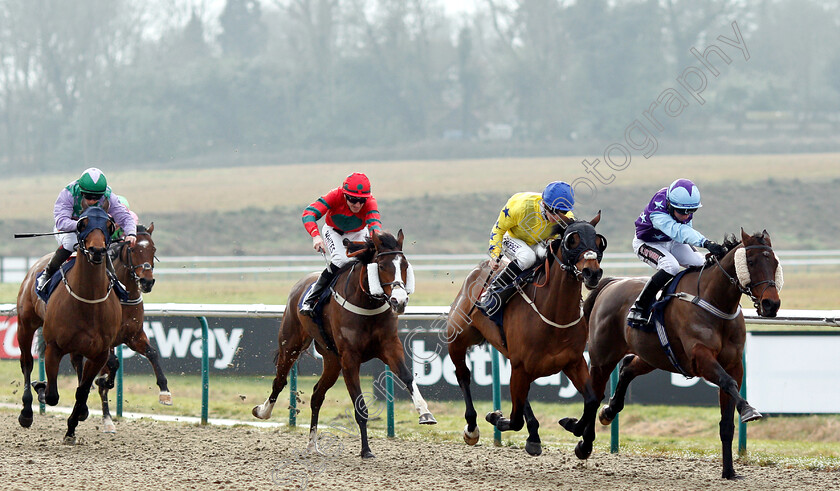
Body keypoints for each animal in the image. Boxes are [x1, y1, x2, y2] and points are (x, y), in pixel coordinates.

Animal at [14, 206, 122, 444]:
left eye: (109, 225)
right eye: (82, 223)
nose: (97, 250)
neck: (88, 300)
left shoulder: (99, 353)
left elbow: (82, 392)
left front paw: (72, 428)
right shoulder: (54, 347)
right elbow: (53, 395)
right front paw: (41, 387)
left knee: (77, 367)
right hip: (25, 325)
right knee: (27, 363)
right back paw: (26, 412)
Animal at [70, 223, 167, 434]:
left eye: (153, 249)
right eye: (133, 250)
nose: (147, 282)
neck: (124, 297)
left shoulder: (134, 336)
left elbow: (152, 353)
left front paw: (165, 391)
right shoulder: (103, 342)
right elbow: (112, 366)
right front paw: (102, 380)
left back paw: (107, 419)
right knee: (81, 368)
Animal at [251, 233, 436, 460]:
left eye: (405, 265)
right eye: (381, 266)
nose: (399, 301)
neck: (367, 303)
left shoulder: (390, 347)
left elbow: (407, 376)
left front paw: (425, 413)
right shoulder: (349, 359)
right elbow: (360, 406)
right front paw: (366, 450)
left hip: (332, 361)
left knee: (317, 394)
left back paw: (312, 444)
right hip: (291, 345)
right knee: (279, 381)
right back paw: (263, 411)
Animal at [450, 213, 608, 460]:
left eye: (599, 242)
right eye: (572, 240)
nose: (592, 273)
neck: (554, 314)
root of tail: (480, 269)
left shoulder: (572, 362)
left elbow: (592, 400)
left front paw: (580, 436)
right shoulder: (522, 366)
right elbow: (514, 420)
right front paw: (495, 416)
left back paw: (534, 435)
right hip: (457, 338)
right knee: (463, 375)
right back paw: (472, 427)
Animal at [568, 231, 784, 480]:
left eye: (775, 262)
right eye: (751, 262)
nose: (771, 304)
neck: (714, 301)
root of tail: (612, 283)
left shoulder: (734, 365)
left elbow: (727, 420)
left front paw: (729, 471)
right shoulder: (701, 358)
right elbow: (728, 383)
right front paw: (749, 410)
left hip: (653, 355)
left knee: (628, 367)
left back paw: (608, 411)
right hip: (603, 357)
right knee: (594, 394)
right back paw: (584, 443)